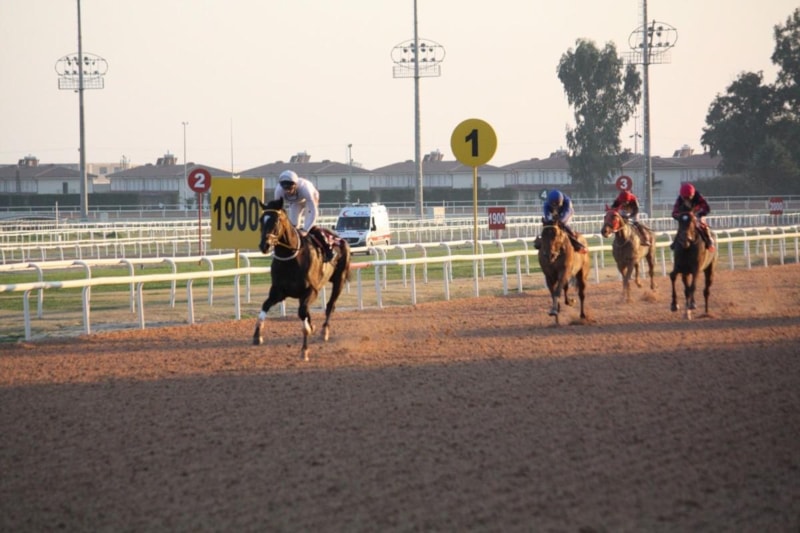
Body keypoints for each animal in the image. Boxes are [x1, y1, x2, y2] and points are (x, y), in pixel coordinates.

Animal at [253, 198, 351, 360]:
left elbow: (303, 314)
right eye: (261, 219)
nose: (264, 245)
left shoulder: (311, 291)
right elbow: (265, 306)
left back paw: (324, 331)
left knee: (330, 305)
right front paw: (257, 335)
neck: (291, 258)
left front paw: (304, 349)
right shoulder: (278, 292)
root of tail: (340, 239)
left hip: (340, 280)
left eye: (276, 221)